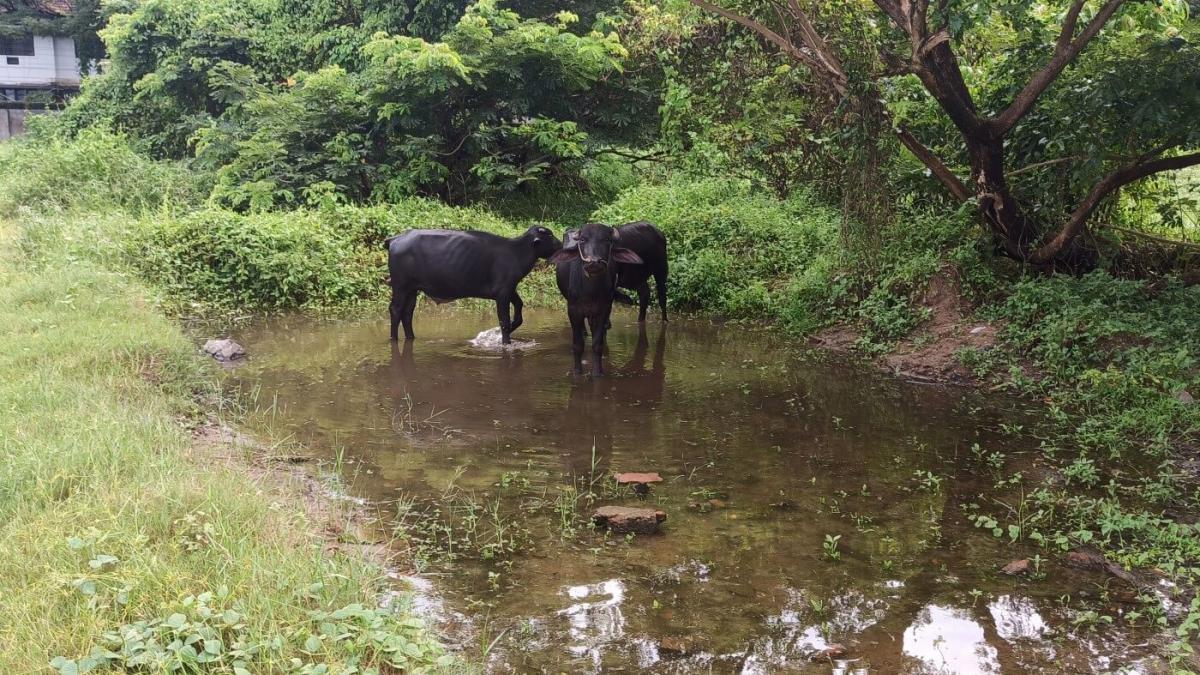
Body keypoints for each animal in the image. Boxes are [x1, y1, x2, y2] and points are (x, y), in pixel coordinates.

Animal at [384, 224, 561, 341]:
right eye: (550, 236)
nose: (561, 244)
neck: (516, 252)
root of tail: (396, 238)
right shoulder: (503, 293)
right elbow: (503, 321)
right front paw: (505, 340)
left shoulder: (510, 289)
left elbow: (519, 306)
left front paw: (510, 327)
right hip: (400, 286)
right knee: (396, 310)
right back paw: (393, 339)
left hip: (412, 289)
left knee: (407, 313)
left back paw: (411, 337)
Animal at [552, 223, 648, 374]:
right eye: (583, 240)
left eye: (606, 240)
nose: (594, 262)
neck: (590, 291)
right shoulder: (573, 311)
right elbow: (578, 345)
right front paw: (577, 372)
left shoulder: (602, 310)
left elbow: (597, 345)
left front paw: (598, 372)